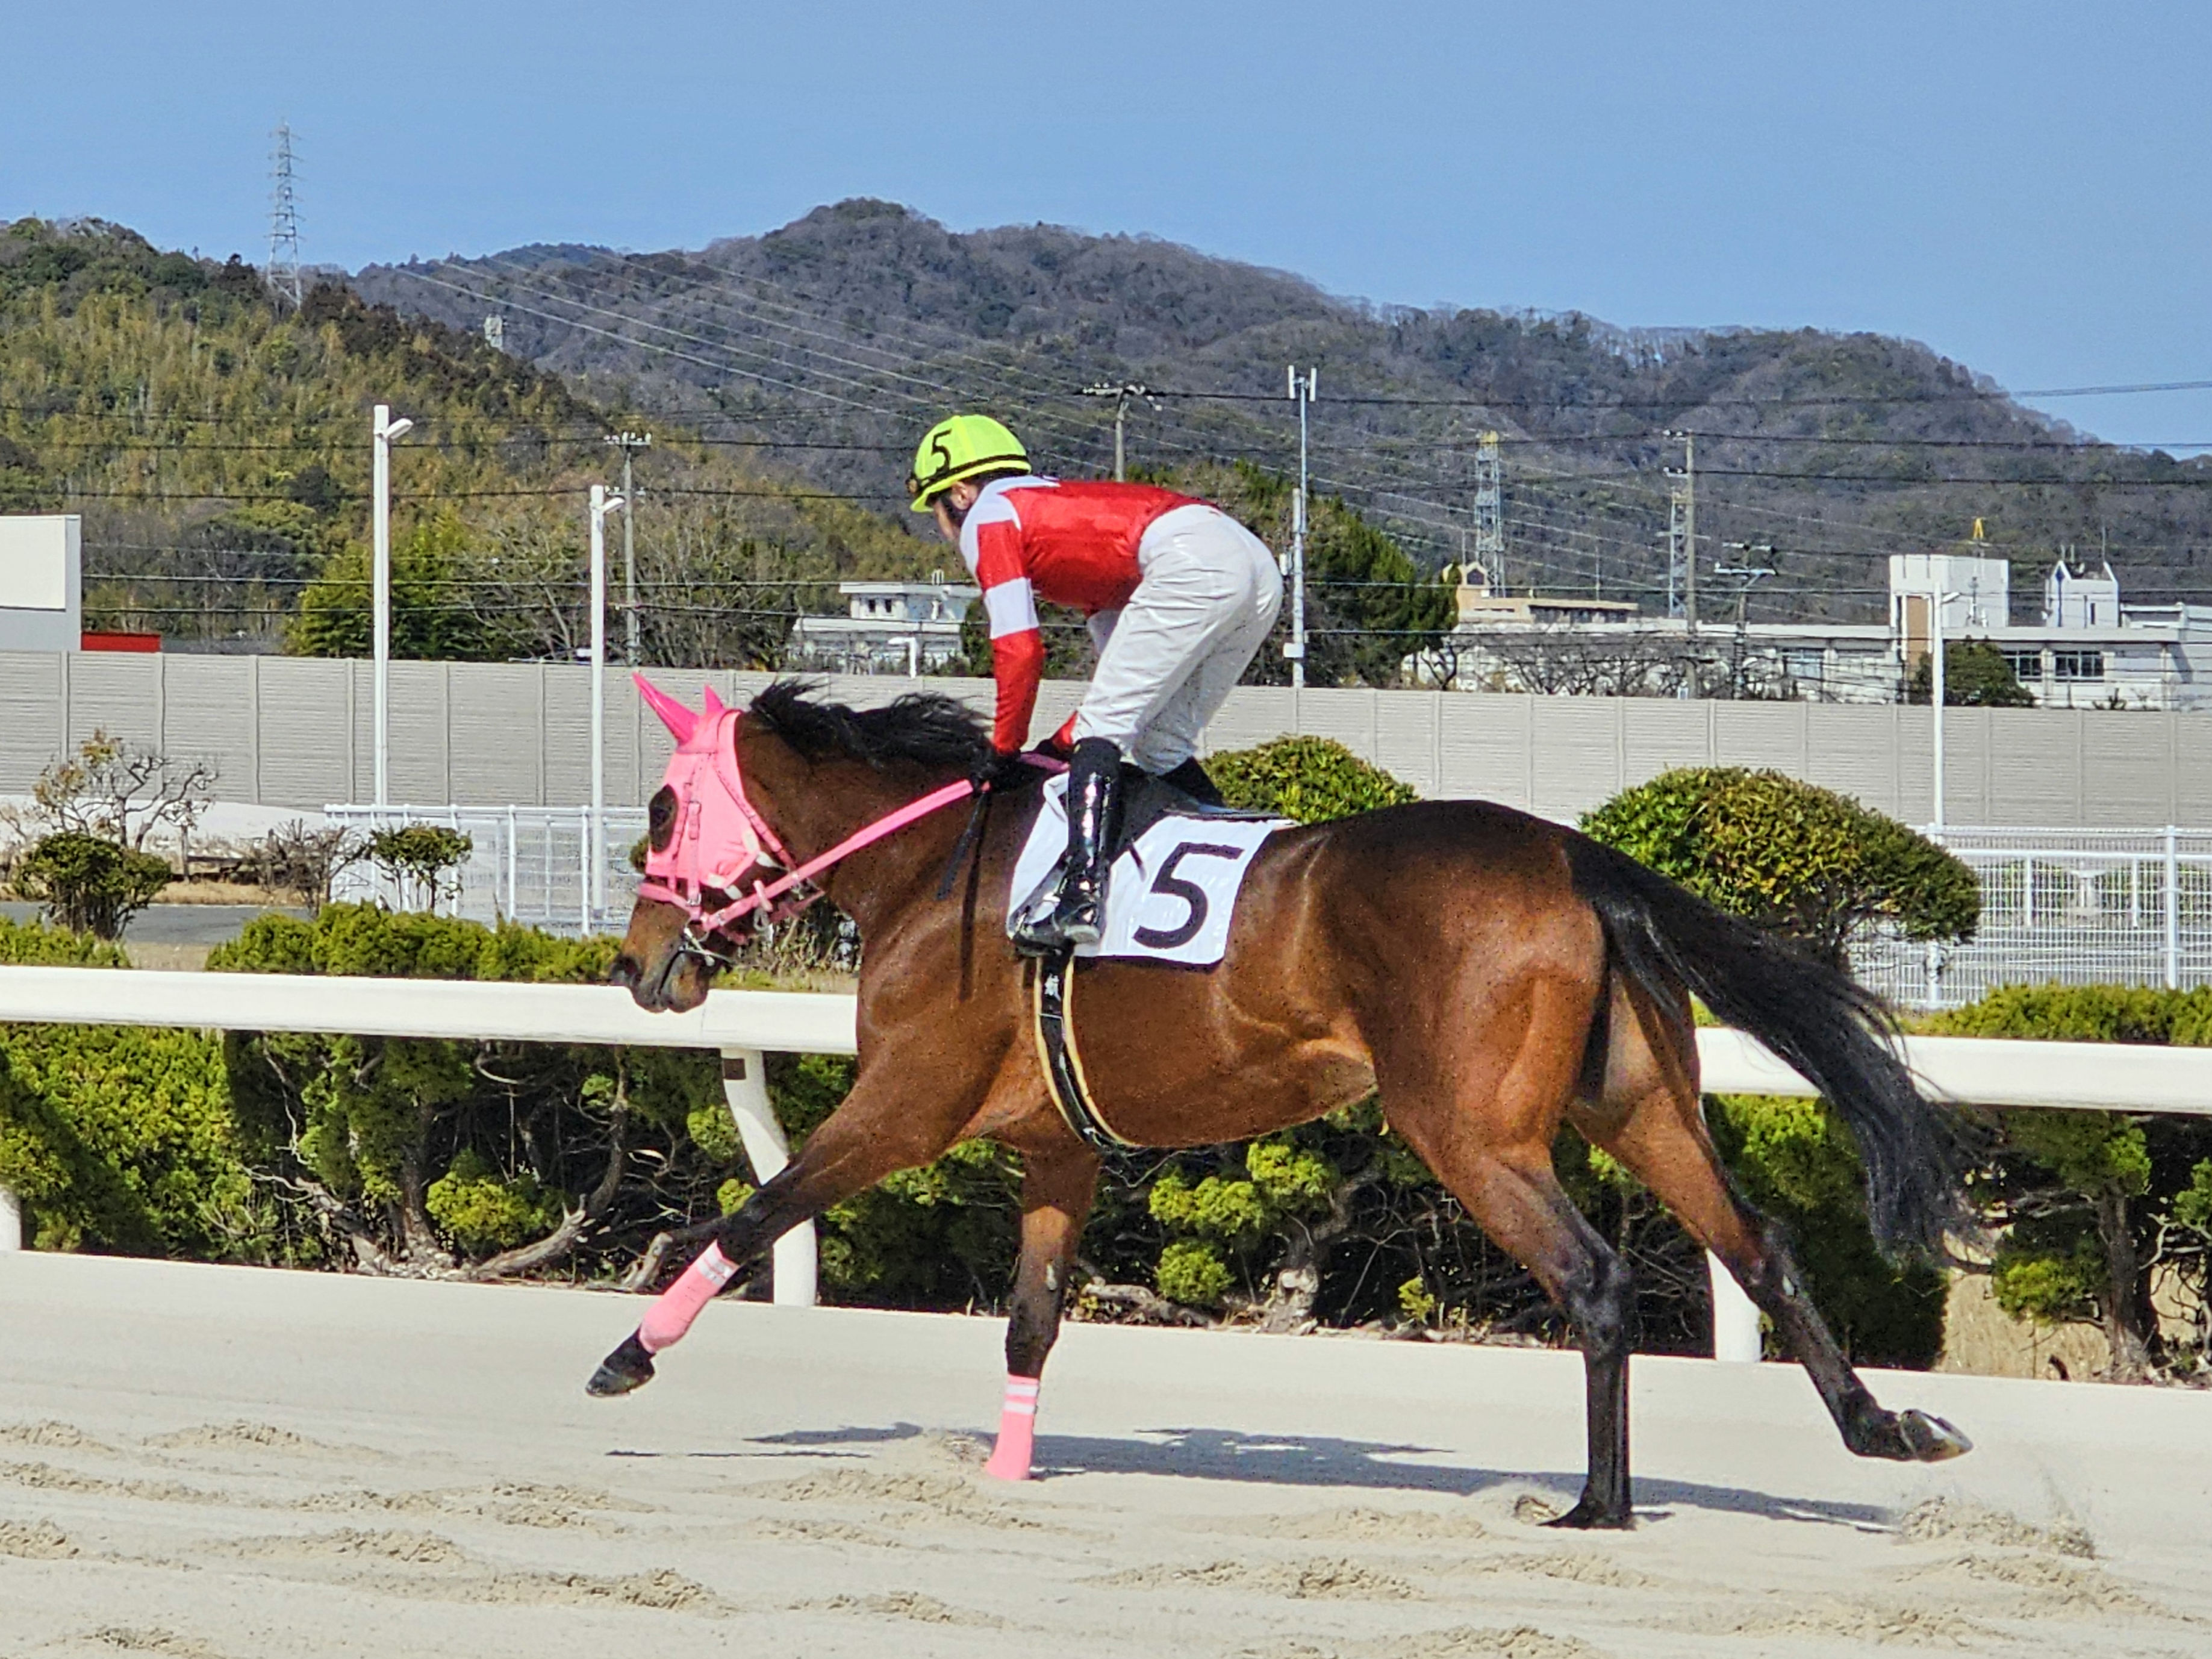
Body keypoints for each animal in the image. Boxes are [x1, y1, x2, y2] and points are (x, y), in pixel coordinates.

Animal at [589, 677, 1972, 1528]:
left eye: (660, 807)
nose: (641, 962)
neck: (935, 868)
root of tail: (1576, 857)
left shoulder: (906, 1105)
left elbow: (756, 1212)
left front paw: (623, 1358)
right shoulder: (1056, 1147)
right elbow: (1029, 1322)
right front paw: (1006, 1470)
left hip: (1468, 1131)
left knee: (1594, 1275)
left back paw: (1596, 1503)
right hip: (1635, 1105)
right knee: (1760, 1247)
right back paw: (1885, 1430)